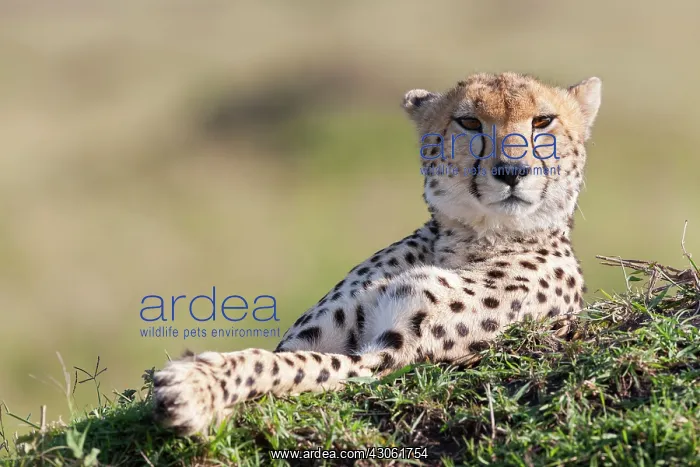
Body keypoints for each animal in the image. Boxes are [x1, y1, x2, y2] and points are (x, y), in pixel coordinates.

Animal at [153, 72, 602, 436]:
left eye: (542, 121)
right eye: (470, 122)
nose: (512, 171)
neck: (473, 239)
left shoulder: (386, 361)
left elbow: (287, 366)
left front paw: (193, 390)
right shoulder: (310, 338)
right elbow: (268, 356)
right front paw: (200, 381)